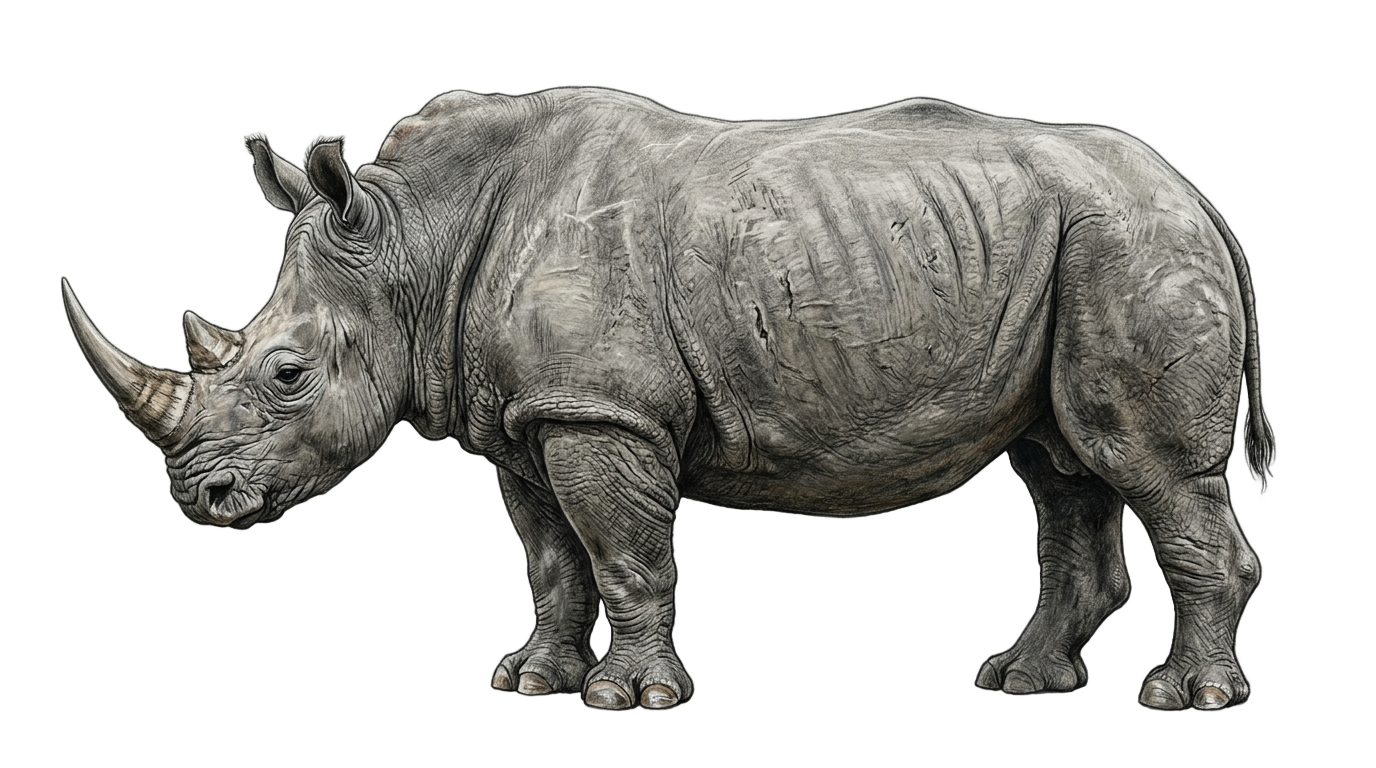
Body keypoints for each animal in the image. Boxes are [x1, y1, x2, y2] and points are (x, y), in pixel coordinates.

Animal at [61, 87, 1271, 712]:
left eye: (287, 374)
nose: (201, 500)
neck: (414, 244)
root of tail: (1197, 198)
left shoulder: (602, 412)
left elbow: (622, 553)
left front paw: (628, 700)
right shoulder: (529, 416)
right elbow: (552, 561)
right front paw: (529, 684)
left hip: (1128, 242)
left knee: (1147, 468)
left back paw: (1187, 701)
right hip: (1079, 247)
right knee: (1062, 465)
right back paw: (1023, 683)